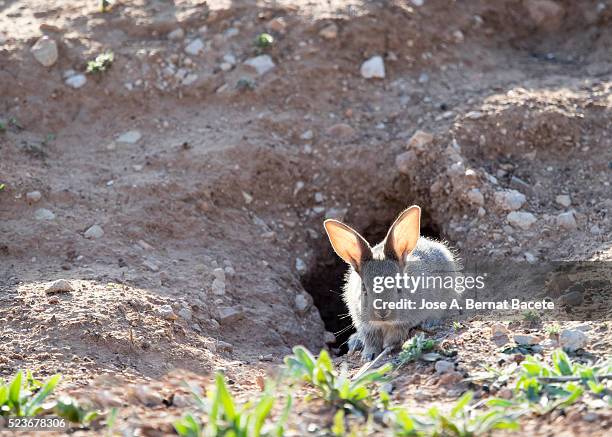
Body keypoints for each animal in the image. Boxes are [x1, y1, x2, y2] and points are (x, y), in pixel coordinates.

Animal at [326, 206, 460, 360]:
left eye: (399, 286)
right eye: (364, 289)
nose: (382, 313)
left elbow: (395, 334)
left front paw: (387, 346)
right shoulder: (365, 324)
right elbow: (371, 339)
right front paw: (368, 355)